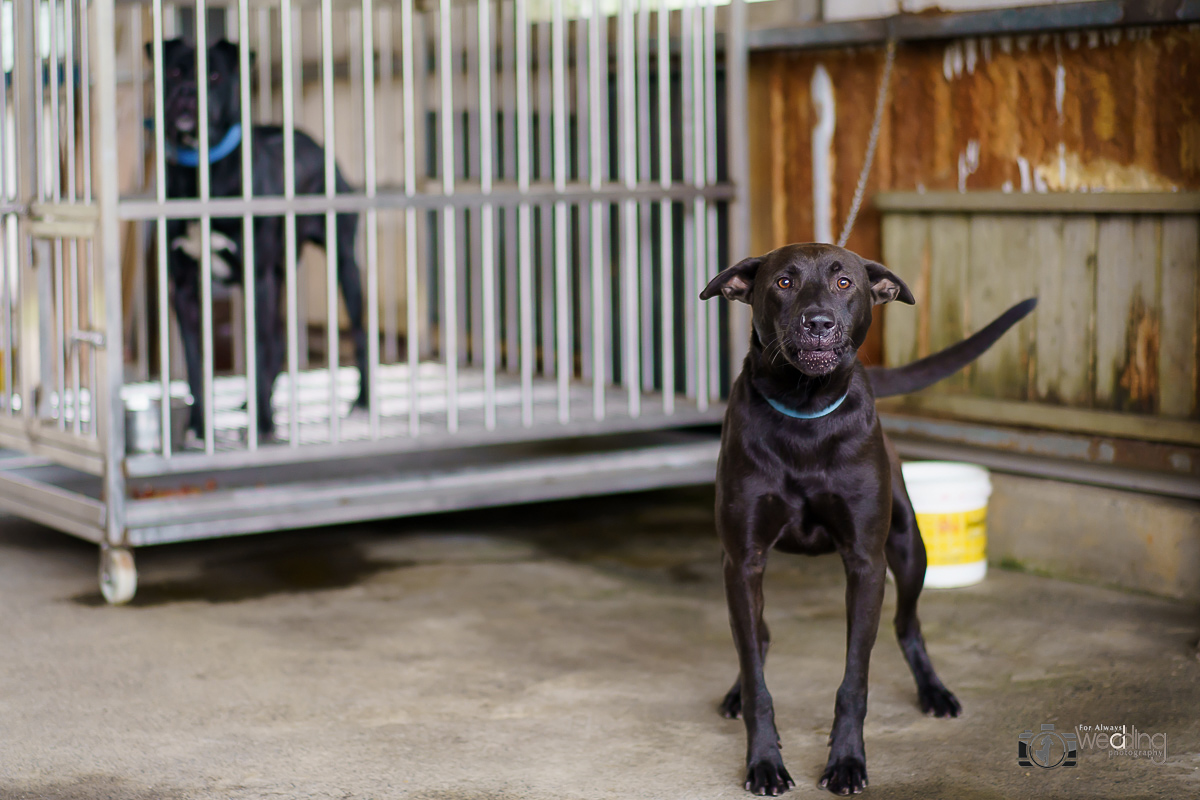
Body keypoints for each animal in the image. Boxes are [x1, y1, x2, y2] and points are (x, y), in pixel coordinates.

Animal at [144, 37, 362, 441]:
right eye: (174, 72)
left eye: (214, 75)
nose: (186, 92)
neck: (203, 170)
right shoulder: (184, 288)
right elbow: (197, 365)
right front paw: (199, 426)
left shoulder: (256, 279)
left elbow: (258, 351)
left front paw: (262, 425)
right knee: (276, 340)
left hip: (343, 265)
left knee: (359, 330)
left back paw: (362, 402)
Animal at [700, 244, 1036, 796]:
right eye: (784, 282)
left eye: (844, 283)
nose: (818, 323)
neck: (805, 408)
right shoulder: (743, 561)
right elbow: (756, 679)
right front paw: (765, 761)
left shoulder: (865, 562)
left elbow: (854, 680)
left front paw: (846, 761)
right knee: (759, 638)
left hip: (909, 549)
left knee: (907, 625)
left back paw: (934, 692)